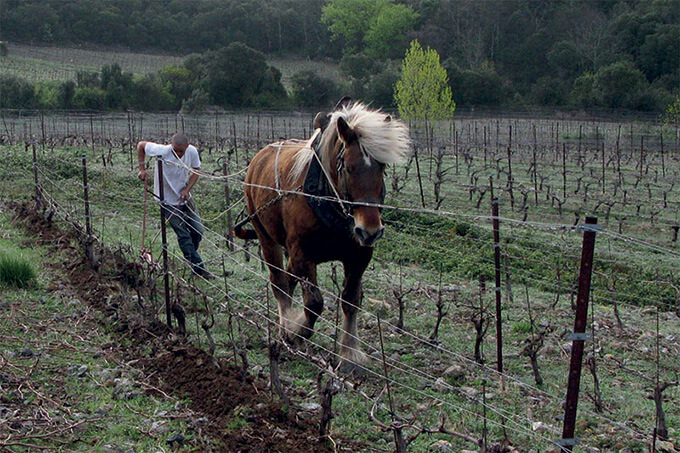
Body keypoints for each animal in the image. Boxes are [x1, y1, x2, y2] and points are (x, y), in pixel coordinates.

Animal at [239, 100, 410, 368]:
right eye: (348, 168)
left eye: (382, 167)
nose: (370, 231)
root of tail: (260, 155)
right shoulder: (303, 254)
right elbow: (314, 304)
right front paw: (296, 331)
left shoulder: (359, 257)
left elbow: (350, 301)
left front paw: (350, 353)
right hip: (266, 236)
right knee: (279, 283)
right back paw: (285, 325)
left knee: (288, 281)